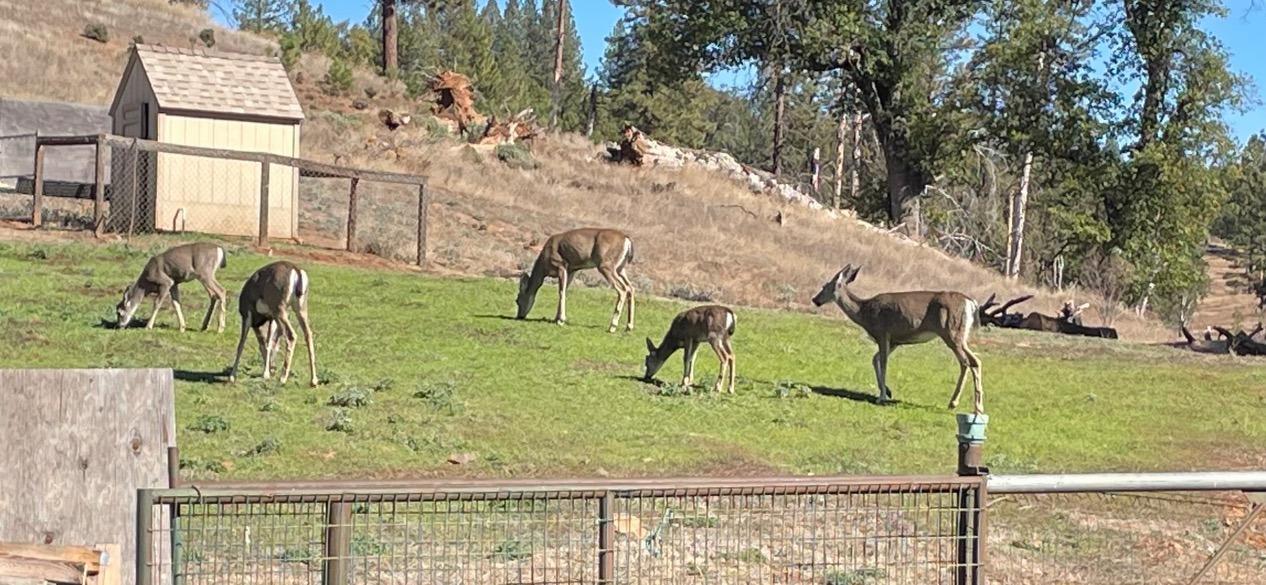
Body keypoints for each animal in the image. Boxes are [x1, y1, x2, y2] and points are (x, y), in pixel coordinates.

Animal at [810, 264, 987, 410]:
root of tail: (970, 303)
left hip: (950, 331)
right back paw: (978, 407)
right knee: (976, 361)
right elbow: (875, 359)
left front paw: (882, 396)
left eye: (825, 286)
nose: (815, 299)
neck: (865, 313)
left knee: (965, 362)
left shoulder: (883, 333)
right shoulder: (895, 340)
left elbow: (883, 362)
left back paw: (953, 403)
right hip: (960, 336)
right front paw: (887, 391)